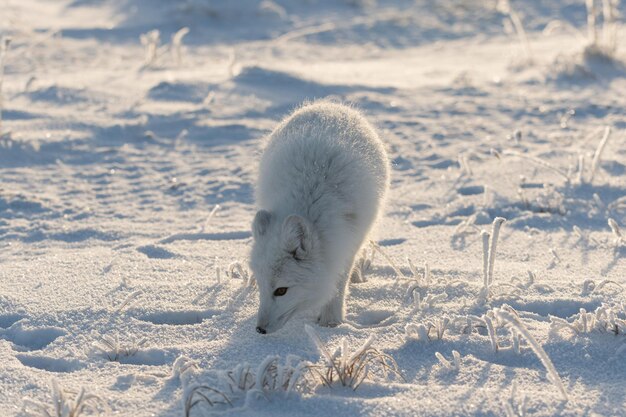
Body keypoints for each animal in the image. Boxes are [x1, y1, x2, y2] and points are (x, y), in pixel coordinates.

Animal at [247, 102, 386, 334]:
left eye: (281, 291)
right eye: (261, 285)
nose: (259, 329)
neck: (308, 202)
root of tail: (329, 104)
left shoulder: (348, 243)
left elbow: (339, 282)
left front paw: (331, 321)